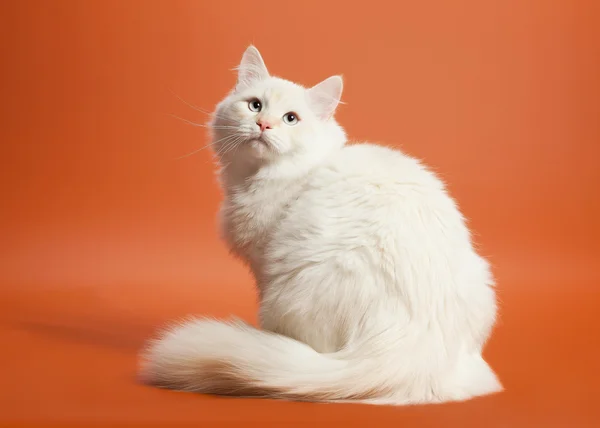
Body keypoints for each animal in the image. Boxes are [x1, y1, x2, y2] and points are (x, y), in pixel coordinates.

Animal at [141, 46, 502, 404]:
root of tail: (409, 353)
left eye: (291, 118)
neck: (265, 176)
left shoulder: (262, 264)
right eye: (255, 105)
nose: (263, 124)